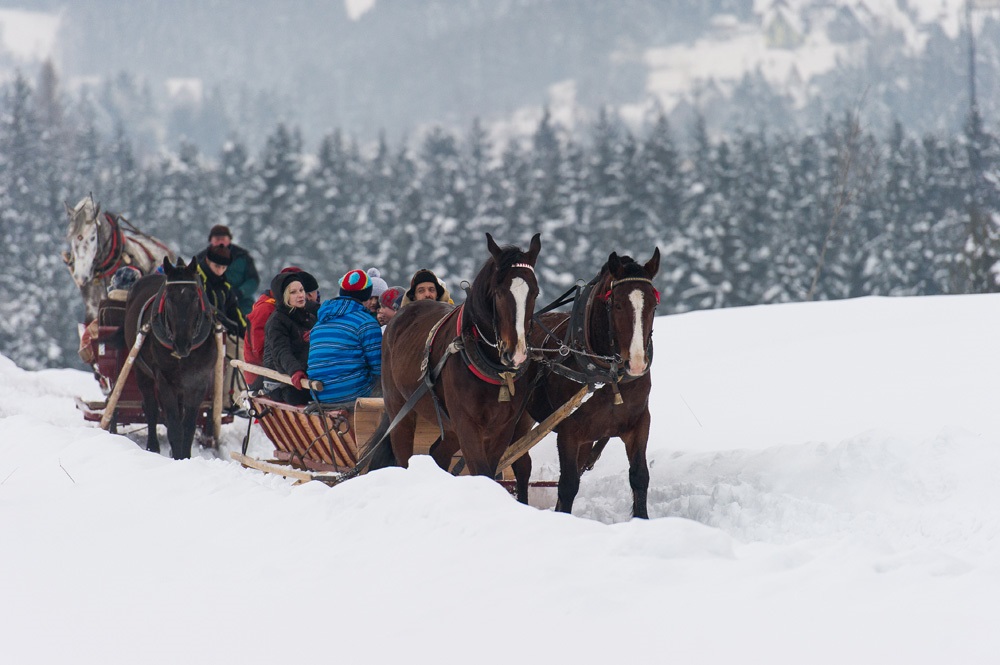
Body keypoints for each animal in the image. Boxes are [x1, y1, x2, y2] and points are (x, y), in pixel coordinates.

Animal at [124, 256, 218, 460]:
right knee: (151, 409)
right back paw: (153, 446)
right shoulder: (164, 380)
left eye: (195, 297)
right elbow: (174, 425)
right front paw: (178, 457)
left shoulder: (198, 381)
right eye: (169, 298)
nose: (182, 344)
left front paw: (185, 456)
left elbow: (188, 426)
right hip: (141, 371)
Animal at [376, 233, 544, 498]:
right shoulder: (467, 424)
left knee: (438, 454)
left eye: (534, 293)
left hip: (449, 424)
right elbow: (482, 471)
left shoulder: (503, 428)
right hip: (399, 407)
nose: (515, 353)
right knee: (403, 456)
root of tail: (402, 315)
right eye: (499, 293)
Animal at [528, 246, 660, 516]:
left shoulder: (639, 422)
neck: (607, 376)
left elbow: (639, 476)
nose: (637, 364)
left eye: (653, 306)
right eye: (617, 305)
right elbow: (568, 485)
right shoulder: (568, 429)